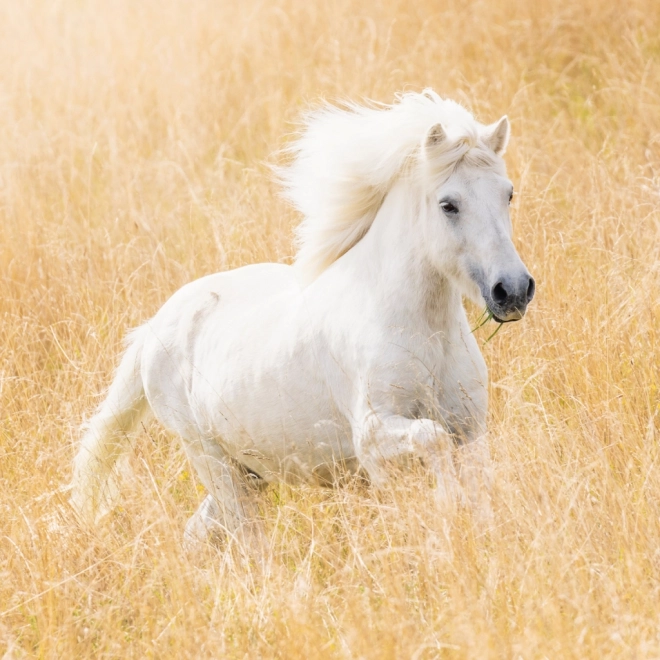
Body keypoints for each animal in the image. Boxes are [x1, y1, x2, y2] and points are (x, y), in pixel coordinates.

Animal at [71, 90, 536, 544]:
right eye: (448, 205)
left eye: (508, 194)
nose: (512, 290)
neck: (425, 333)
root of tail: (155, 328)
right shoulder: (374, 438)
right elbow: (431, 444)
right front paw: (444, 508)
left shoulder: (472, 432)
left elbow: (478, 491)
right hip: (212, 461)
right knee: (247, 540)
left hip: (249, 470)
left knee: (198, 533)